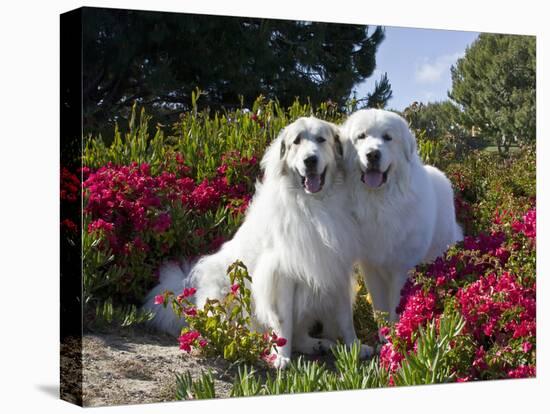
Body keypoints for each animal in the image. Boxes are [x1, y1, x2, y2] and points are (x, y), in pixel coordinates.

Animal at [144, 116, 374, 368]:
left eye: (321, 139)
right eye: (296, 141)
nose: (310, 160)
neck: (314, 204)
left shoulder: (337, 267)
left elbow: (346, 317)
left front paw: (355, 347)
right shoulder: (281, 275)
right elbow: (283, 322)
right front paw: (281, 356)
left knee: (300, 334)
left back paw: (318, 344)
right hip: (224, 291)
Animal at [342, 108, 464, 322]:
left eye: (388, 137)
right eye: (361, 136)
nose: (373, 154)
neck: (379, 202)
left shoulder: (402, 267)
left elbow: (397, 307)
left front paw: (397, 329)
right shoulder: (371, 267)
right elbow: (380, 307)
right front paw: (384, 331)